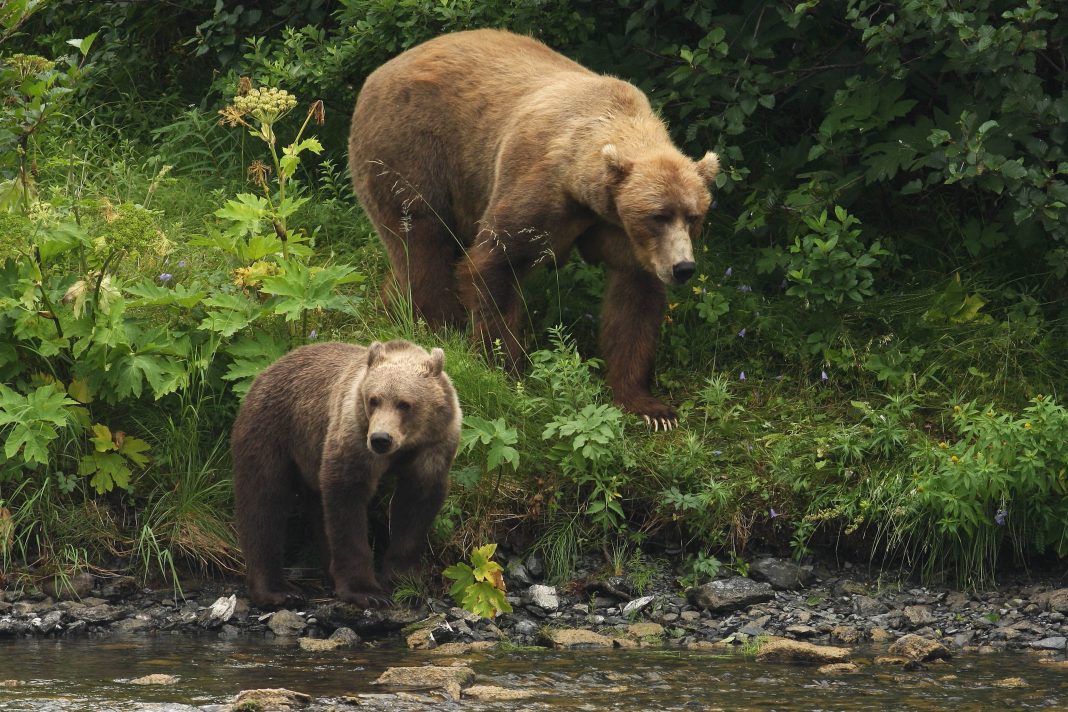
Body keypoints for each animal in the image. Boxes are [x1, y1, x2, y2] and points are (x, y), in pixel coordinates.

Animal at [350, 29, 717, 429]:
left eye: (694, 216)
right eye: (658, 215)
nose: (683, 268)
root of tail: (377, 73)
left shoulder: (622, 233)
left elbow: (634, 304)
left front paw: (649, 406)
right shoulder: (540, 187)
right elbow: (495, 264)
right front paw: (507, 370)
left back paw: (393, 311)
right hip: (412, 150)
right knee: (422, 241)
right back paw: (435, 329)